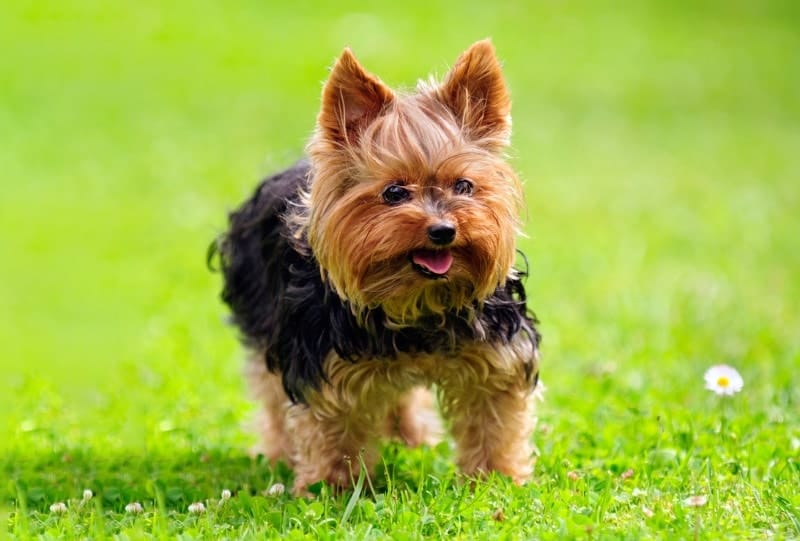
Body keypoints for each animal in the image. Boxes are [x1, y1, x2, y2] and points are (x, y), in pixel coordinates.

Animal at [209, 39, 540, 494]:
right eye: (394, 193)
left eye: (464, 186)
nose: (443, 230)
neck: (417, 301)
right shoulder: (321, 362)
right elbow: (331, 429)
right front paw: (331, 488)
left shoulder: (497, 356)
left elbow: (494, 417)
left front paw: (497, 479)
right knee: (272, 395)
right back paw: (279, 455)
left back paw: (410, 437)